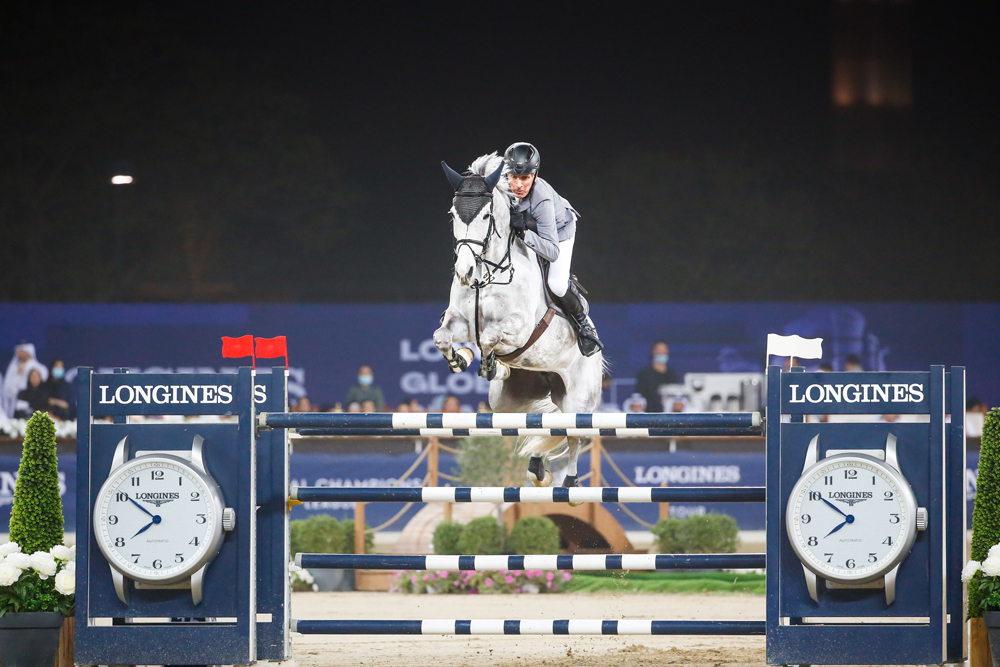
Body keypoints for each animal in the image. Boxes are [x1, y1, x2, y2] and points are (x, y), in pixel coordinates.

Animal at [434, 154, 604, 488]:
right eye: (453, 214)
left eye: (486, 215)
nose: (464, 273)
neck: (487, 274)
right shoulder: (462, 322)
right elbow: (443, 336)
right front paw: (462, 358)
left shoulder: (520, 327)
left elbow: (490, 337)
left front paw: (490, 364)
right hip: (508, 401)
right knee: (541, 423)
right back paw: (538, 468)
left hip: (579, 399)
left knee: (574, 435)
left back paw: (570, 483)